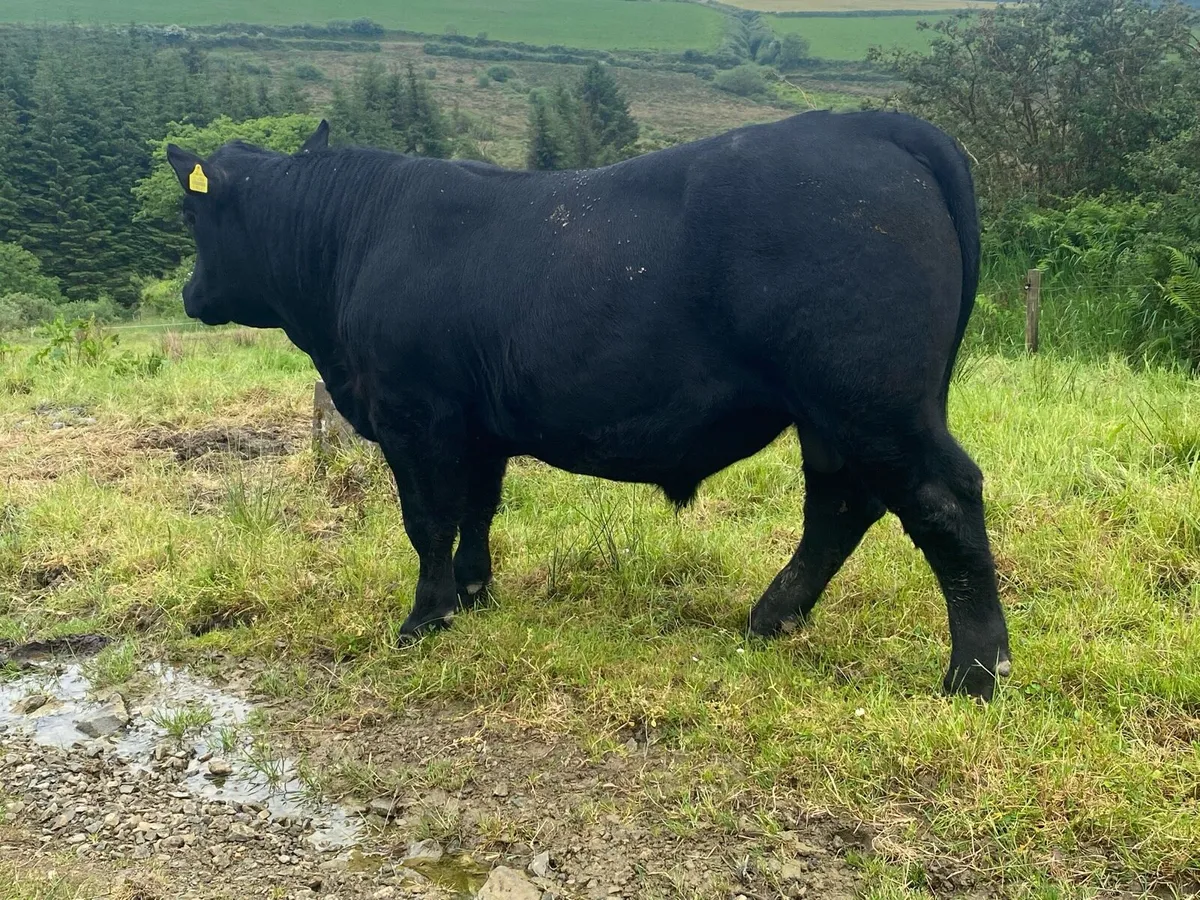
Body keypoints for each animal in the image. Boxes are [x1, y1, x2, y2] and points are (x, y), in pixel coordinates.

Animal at [166, 110, 1011, 700]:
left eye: (190, 216)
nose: (190, 295)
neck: (355, 239)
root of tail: (869, 122)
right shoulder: (477, 427)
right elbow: (477, 511)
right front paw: (474, 596)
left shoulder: (415, 413)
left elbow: (427, 519)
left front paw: (424, 619)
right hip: (835, 411)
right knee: (840, 504)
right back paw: (772, 619)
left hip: (872, 398)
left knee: (941, 498)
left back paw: (975, 673)